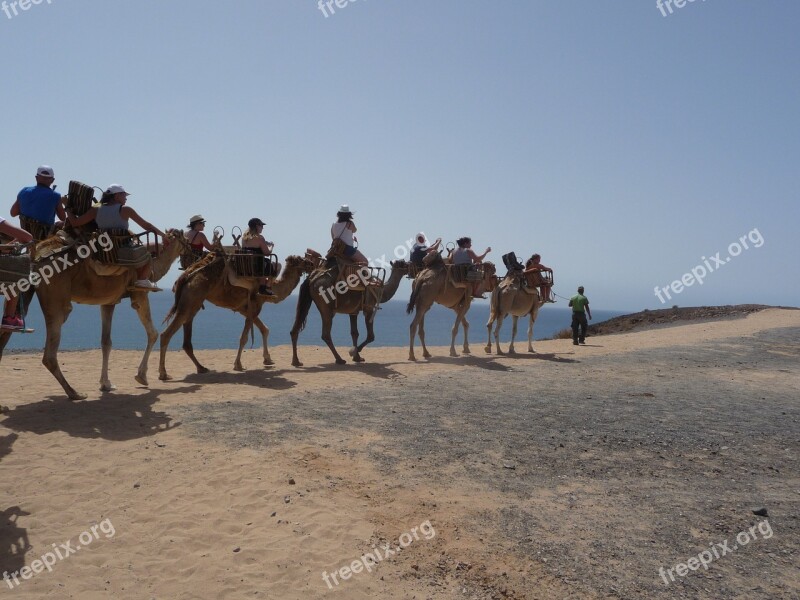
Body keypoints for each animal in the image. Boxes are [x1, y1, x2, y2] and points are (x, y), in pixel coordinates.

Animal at [0, 229, 186, 398]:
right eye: (186, 239)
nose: (192, 249)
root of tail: (36, 256)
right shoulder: (139, 294)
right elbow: (152, 333)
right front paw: (142, 377)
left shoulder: (109, 301)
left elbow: (106, 342)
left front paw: (106, 384)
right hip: (56, 297)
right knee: (50, 353)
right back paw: (74, 393)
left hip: (28, 290)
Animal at [159, 253, 312, 380]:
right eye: (301, 259)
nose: (311, 262)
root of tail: (185, 276)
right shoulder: (255, 304)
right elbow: (244, 337)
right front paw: (238, 365)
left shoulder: (243, 308)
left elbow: (264, 329)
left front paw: (267, 359)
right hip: (192, 298)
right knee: (166, 334)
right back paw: (163, 374)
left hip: (193, 303)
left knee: (186, 338)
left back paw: (201, 368)